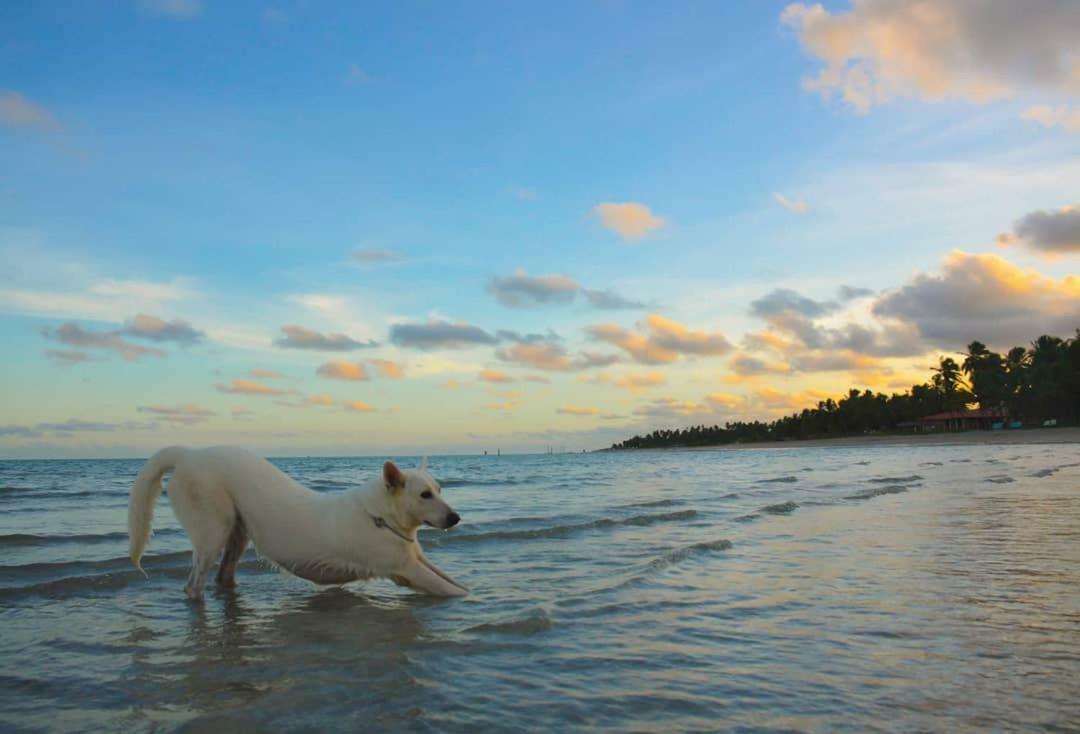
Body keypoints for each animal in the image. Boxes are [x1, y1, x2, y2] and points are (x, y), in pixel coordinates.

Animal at [126, 444, 464, 600]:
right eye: (424, 495)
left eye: (439, 490)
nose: (455, 518)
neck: (381, 516)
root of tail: (189, 454)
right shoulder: (406, 568)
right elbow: (454, 590)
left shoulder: (417, 560)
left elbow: (453, 580)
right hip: (212, 532)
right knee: (193, 585)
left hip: (238, 533)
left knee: (223, 576)